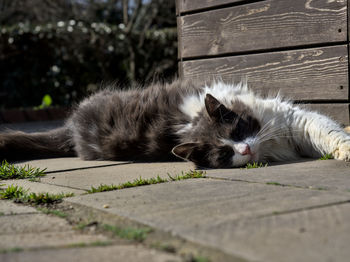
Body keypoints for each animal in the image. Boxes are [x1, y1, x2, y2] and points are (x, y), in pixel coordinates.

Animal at [0, 78, 350, 168]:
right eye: (223, 154)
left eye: (237, 130)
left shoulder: (290, 120)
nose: (245, 151)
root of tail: (73, 127)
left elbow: (328, 131)